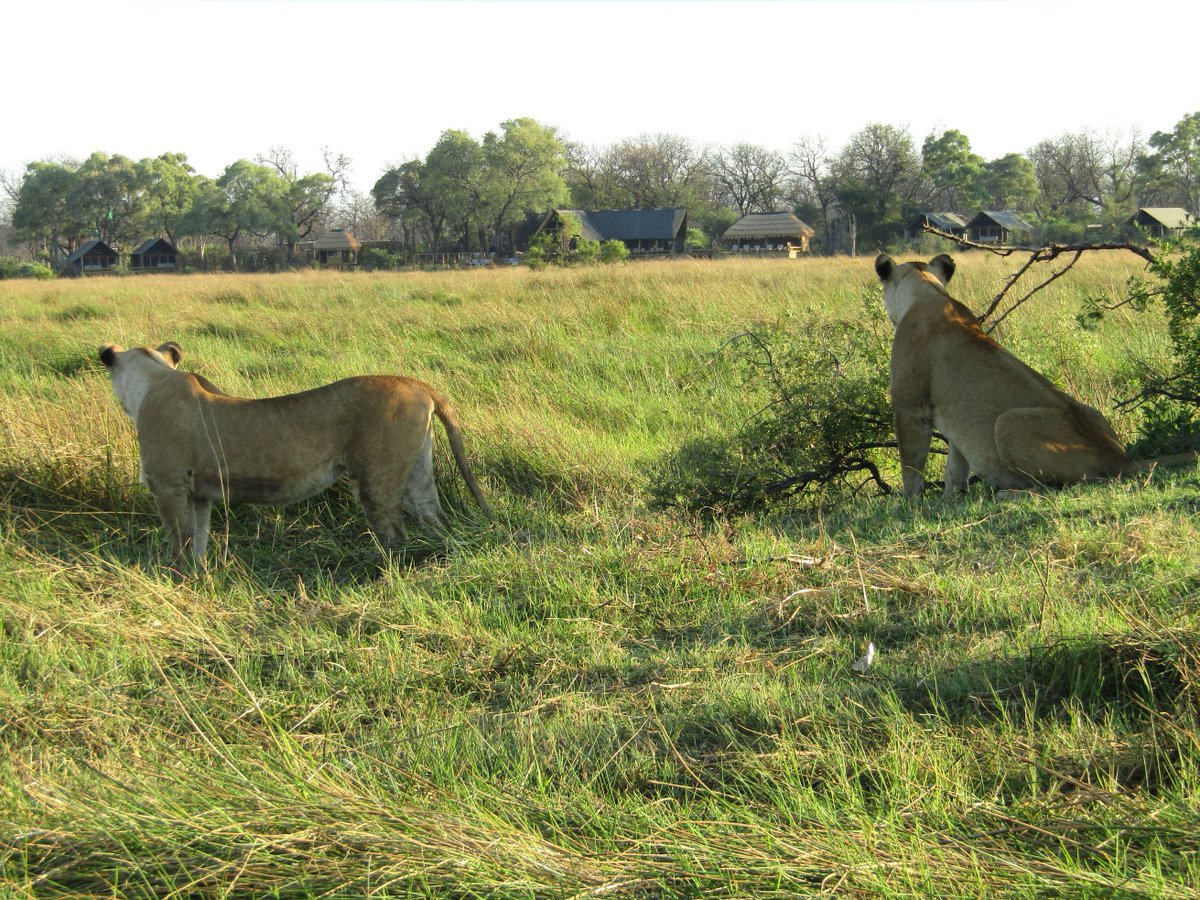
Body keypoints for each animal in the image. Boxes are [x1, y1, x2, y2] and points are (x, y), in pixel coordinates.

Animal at [99, 341, 493, 564]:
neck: (154, 380)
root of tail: (420, 384)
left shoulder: (169, 487)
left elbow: (178, 545)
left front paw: (177, 581)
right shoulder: (200, 494)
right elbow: (198, 541)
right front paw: (199, 578)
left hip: (377, 478)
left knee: (395, 535)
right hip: (418, 472)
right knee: (434, 516)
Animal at [875, 252, 1143, 499]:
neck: (926, 289)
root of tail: (1118, 457)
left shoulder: (910, 407)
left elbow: (911, 467)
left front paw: (911, 502)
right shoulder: (957, 423)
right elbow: (955, 466)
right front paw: (950, 499)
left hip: (1007, 421)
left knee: (1053, 488)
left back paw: (1006, 493)